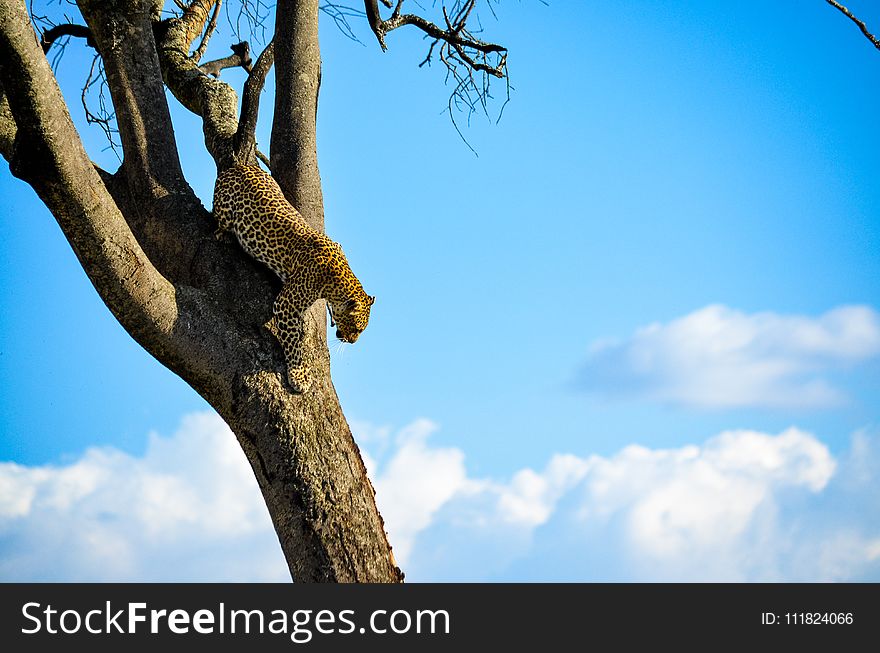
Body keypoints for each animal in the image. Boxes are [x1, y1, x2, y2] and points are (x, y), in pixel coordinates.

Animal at [217, 163, 378, 392]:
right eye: (356, 328)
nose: (353, 341)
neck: (336, 282)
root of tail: (240, 166)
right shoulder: (286, 304)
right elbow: (294, 342)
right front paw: (298, 375)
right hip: (226, 210)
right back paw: (224, 235)